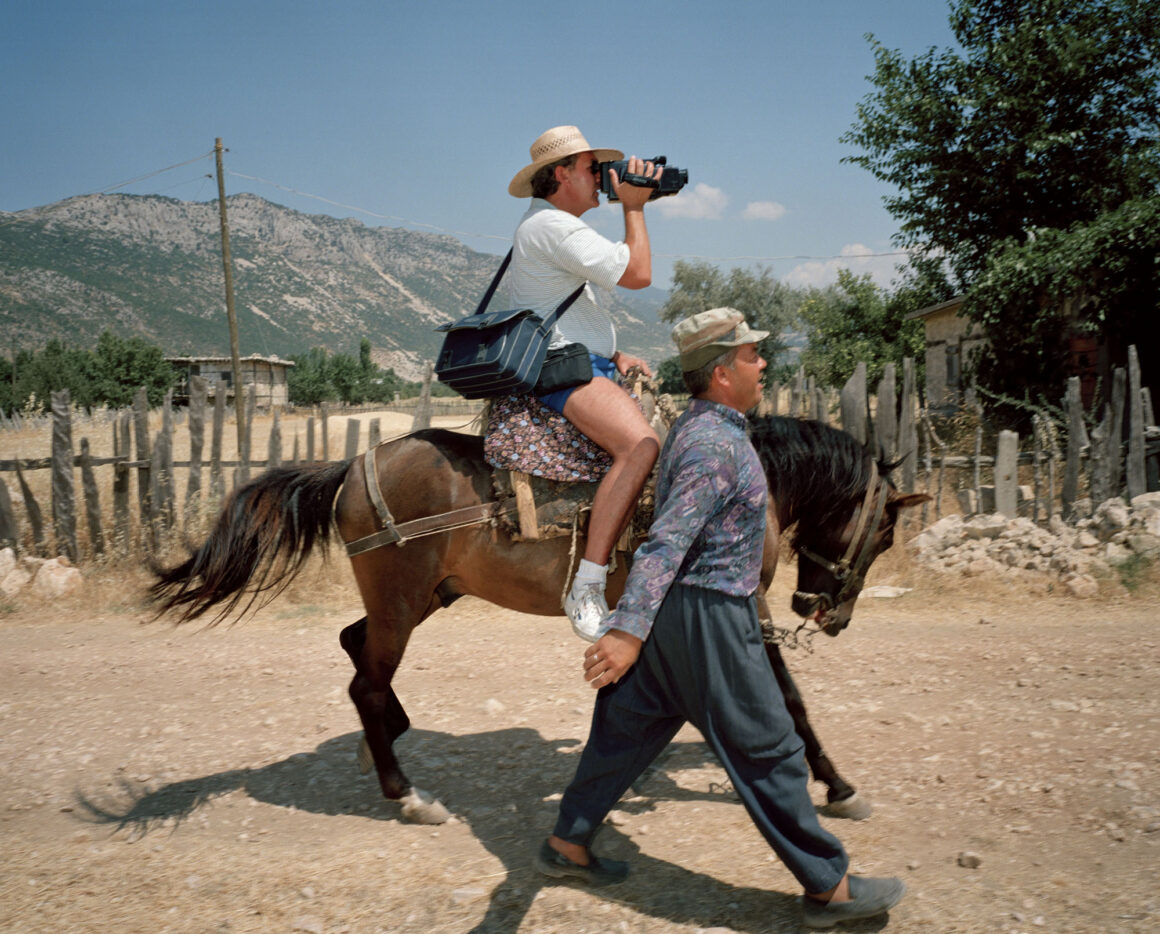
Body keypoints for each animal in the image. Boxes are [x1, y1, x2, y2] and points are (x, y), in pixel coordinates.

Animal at [151, 417, 923, 821]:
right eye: (885, 532)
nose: (824, 614)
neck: (734, 484)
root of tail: (352, 465)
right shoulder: (735, 604)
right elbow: (787, 698)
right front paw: (837, 785)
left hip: (428, 596)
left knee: (354, 648)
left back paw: (391, 737)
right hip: (401, 600)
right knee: (365, 681)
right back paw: (406, 794)